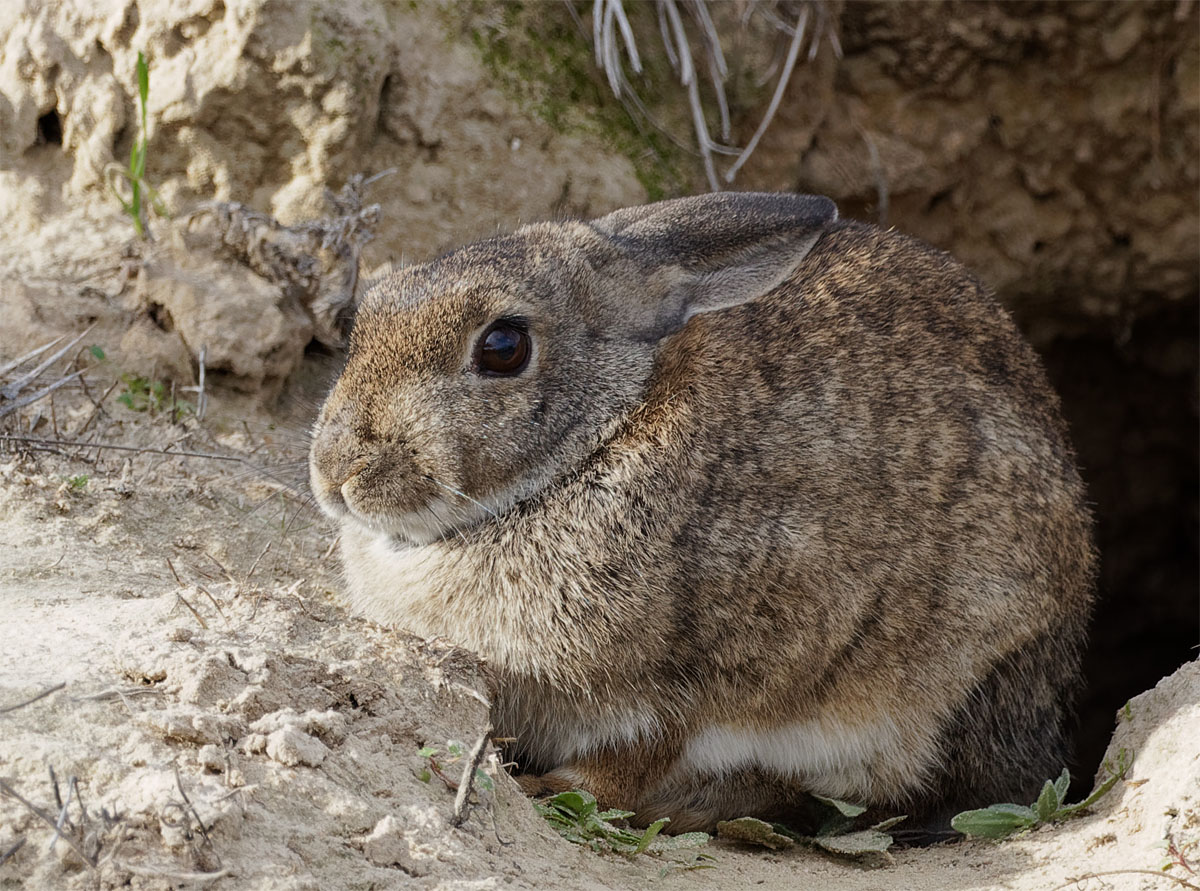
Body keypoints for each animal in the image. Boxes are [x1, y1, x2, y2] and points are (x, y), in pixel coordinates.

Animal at [308, 192, 1095, 835]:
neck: (599, 438)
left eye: (503, 346)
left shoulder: (686, 683)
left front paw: (551, 789)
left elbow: (635, 757)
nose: (337, 471)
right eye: (363, 318)